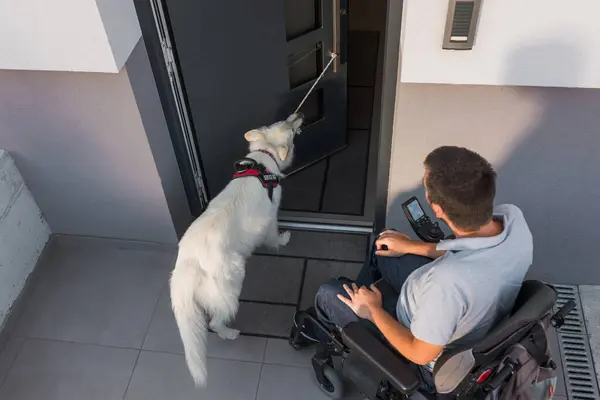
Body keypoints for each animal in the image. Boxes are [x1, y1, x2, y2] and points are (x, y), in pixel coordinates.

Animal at [169, 112, 302, 384]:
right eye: (292, 129)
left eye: (285, 119)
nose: (299, 114)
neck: (264, 156)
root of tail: (189, 261)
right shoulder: (272, 214)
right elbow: (274, 235)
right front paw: (281, 241)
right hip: (232, 281)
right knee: (215, 323)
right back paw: (229, 333)